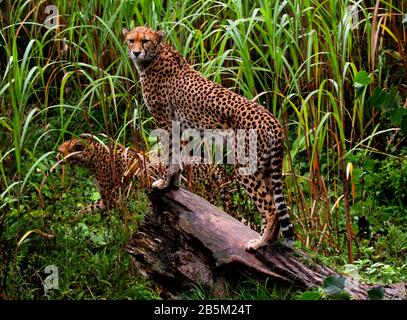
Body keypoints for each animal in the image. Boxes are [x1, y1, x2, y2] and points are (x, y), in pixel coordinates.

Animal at [122, 26, 294, 250]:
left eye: (145, 41)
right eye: (131, 40)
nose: (135, 53)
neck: (154, 57)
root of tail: (273, 120)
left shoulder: (165, 123)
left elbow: (169, 155)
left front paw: (164, 183)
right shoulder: (178, 127)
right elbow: (177, 158)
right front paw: (174, 184)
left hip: (246, 166)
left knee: (271, 209)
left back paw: (258, 243)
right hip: (264, 166)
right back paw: (267, 241)